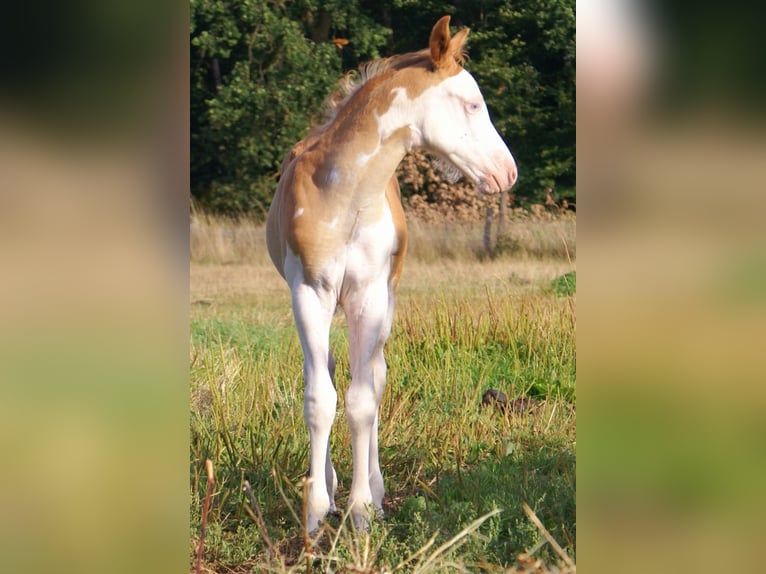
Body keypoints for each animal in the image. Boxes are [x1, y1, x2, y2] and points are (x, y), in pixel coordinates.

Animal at [266, 15, 517, 532]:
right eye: (472, 103)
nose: (507, 172)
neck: (346, 199)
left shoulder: (369, 296)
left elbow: (364, 400)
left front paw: (363, 510)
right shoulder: (309, 292)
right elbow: (319, 399)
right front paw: (316, 511)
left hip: (384, 302)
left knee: (376, 378)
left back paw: (375, 489)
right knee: (328, 372)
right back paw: (331, 486)